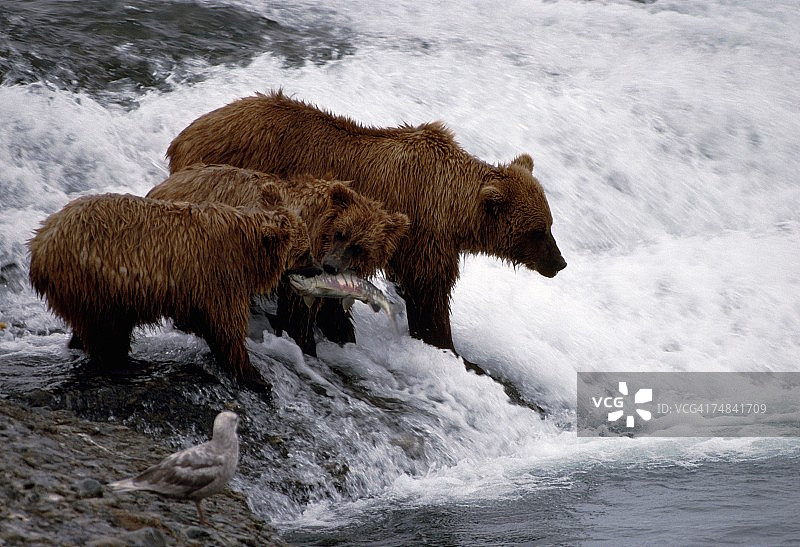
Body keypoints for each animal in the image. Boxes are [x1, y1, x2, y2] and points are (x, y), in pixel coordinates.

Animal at [28, 191, 312, 389]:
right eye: (305, 253)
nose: (319, 268)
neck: (249, 256)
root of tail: (39, 243)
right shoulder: (219, 276)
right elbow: (225, 327)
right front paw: (255, 377)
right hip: (99, 279)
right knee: (106, 329)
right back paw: (124, 366)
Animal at [146, 164, 410, 357]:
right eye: (340, 233)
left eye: (359, 247)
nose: (331, 266)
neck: (321, 228)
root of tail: (162, 186)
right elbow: (299, 314)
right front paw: (307, 345)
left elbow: (333, 313)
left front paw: (344, 337)